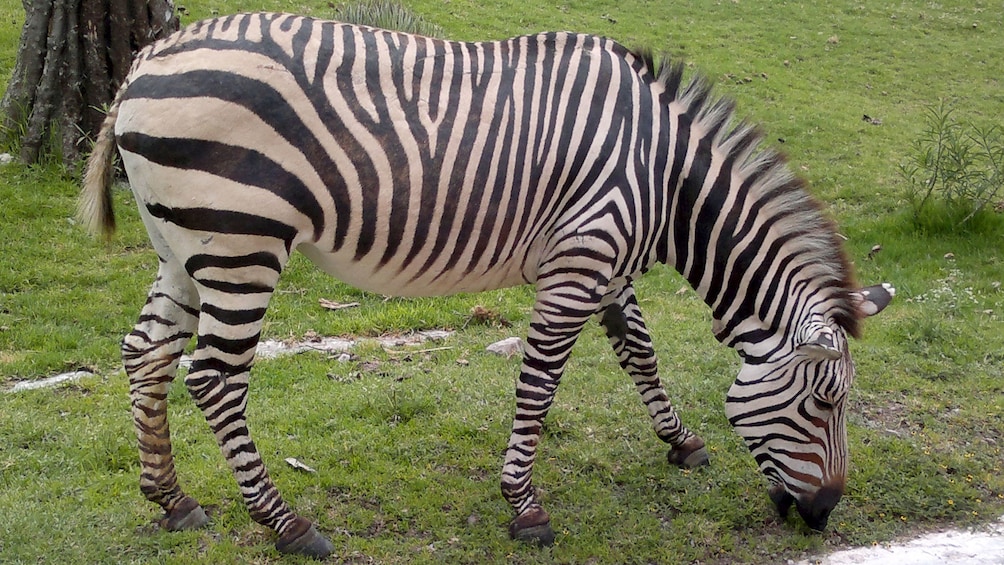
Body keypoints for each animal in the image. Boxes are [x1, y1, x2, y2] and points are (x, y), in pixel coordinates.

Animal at [78, 12, 895, 557]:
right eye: (826, 403)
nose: (825, 514)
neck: (666, 177)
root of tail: (144, 62)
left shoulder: (605, 263)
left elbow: (640, 350)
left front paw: (683, 442)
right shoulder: (581, 260)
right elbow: (541, 384)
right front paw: (525, 507)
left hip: (183, 243)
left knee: (145, 353)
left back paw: (172, 500)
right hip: (241, 242)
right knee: (213, 378)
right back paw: (287, 524)